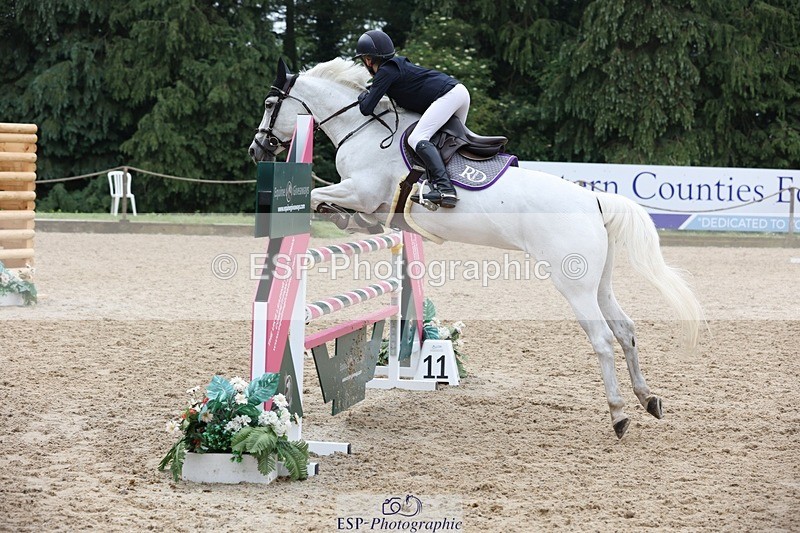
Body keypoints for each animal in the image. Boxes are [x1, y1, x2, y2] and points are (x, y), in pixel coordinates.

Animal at [249, 57, 703, 439]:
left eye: (270, 103)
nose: (257, 148)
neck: (368, 131)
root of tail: (594, 199)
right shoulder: (377, 209)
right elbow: (347, 214)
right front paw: (338, 217)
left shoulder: (362, 191)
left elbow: (315, 198)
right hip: (599, 281)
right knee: (625, 331)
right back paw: (648, 399)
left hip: (573, 284)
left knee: (603, 340)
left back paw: (619, 413)